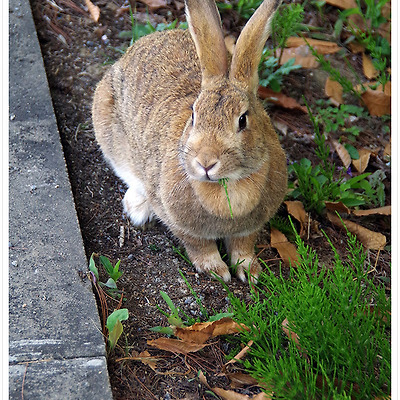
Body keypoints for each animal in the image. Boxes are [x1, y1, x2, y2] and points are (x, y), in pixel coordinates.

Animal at [93, 0, 288, 282]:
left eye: (243, 120)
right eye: (193, 115)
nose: (205, 162)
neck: (227, 186)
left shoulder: (249, 228)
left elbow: (243, 245)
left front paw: (250, 272)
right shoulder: (179, 222)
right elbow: (199, 245)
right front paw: (217, 271)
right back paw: (139, 209)